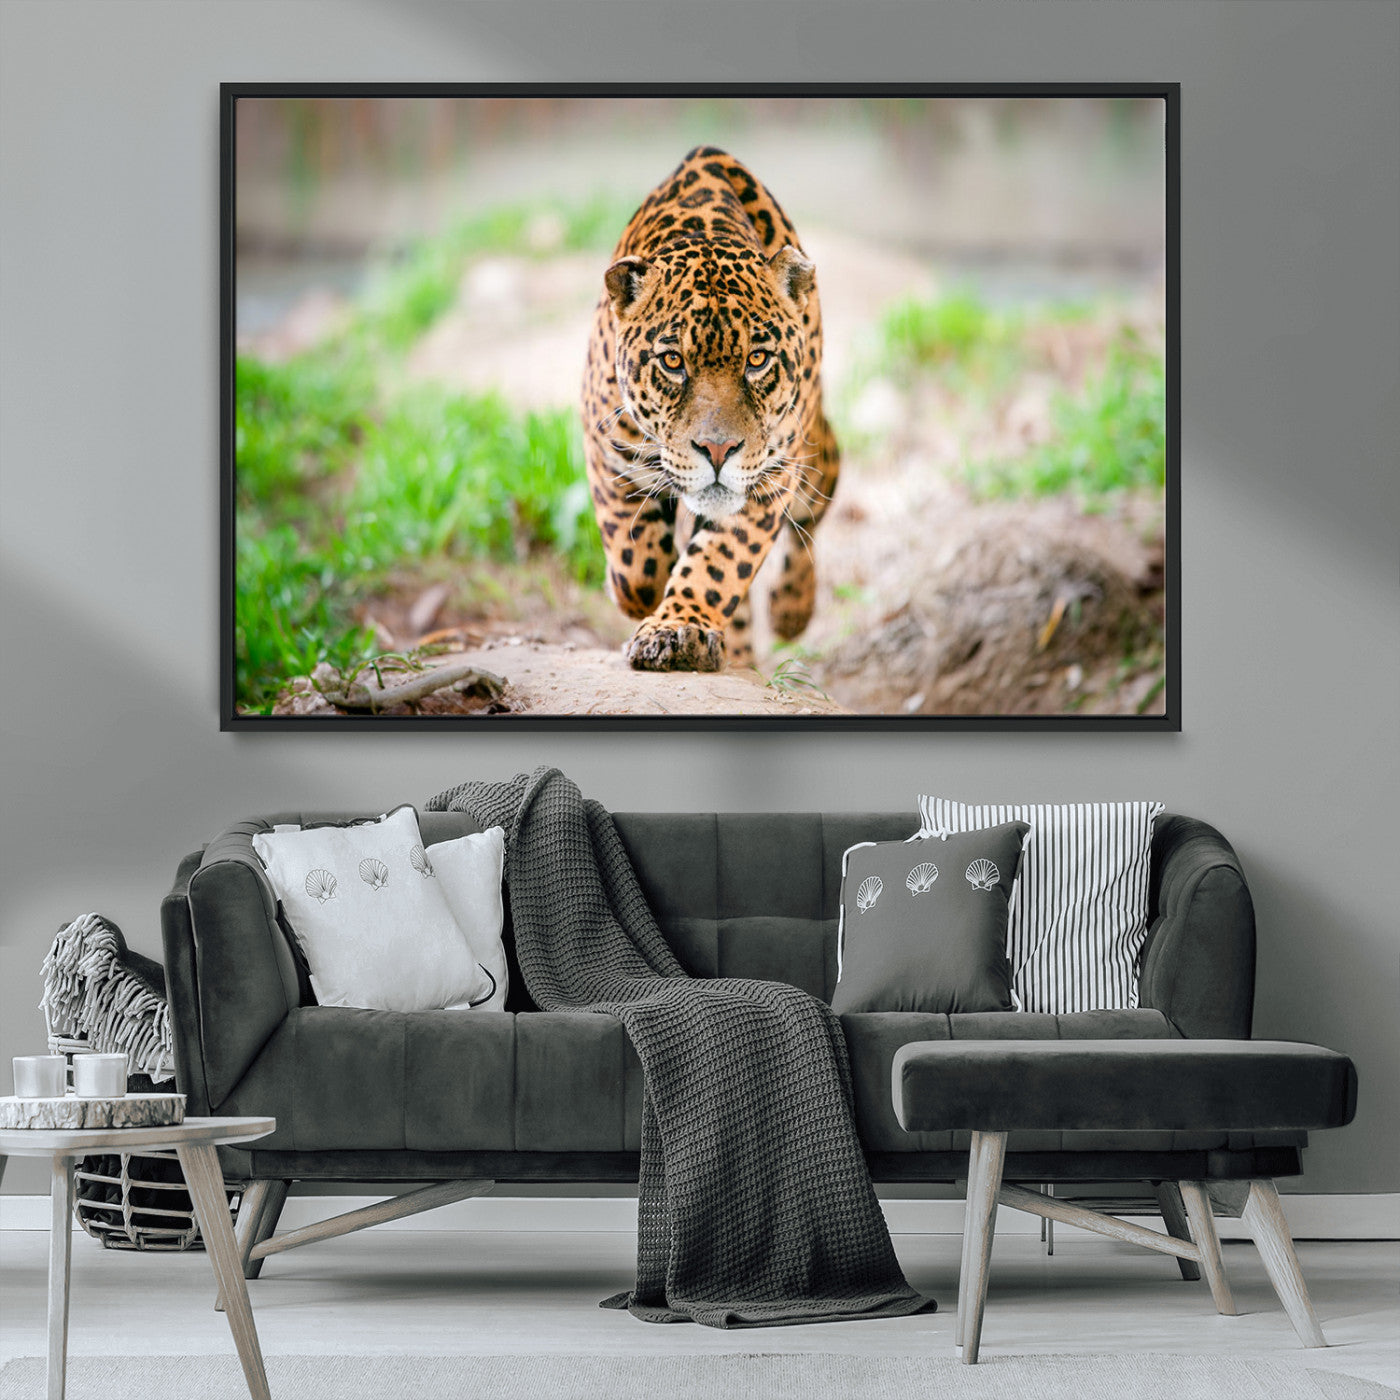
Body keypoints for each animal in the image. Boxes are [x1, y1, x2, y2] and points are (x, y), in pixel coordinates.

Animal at [580, 146, 840, 672]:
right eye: (672, 362)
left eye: (757, 360)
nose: (718, 451)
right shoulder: (606, 447)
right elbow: (635, 563)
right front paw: (640, 596)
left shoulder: (769, 478)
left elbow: (718, 564)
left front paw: (678, 628)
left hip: (814, 456)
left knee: (815, 507)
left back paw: (791, 610)